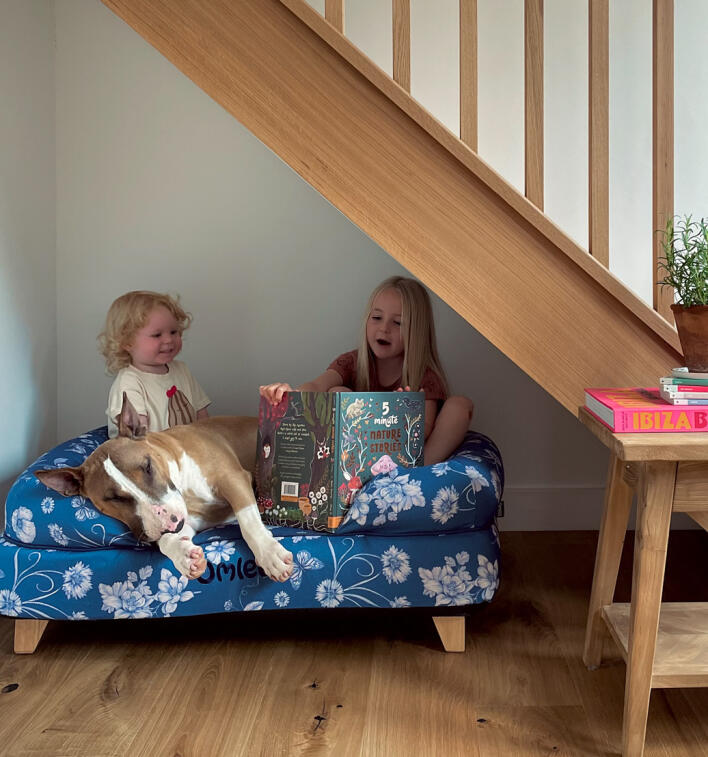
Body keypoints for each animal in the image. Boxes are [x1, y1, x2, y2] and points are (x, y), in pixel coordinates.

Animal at [34, 398, 294, 580]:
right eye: (114, 498)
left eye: (148, 466)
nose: (170, 522)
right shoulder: (192, 520)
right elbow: (167, 541)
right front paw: (185, 556)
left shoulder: (233, 478)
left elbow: (248, 520)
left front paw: (270, 555)